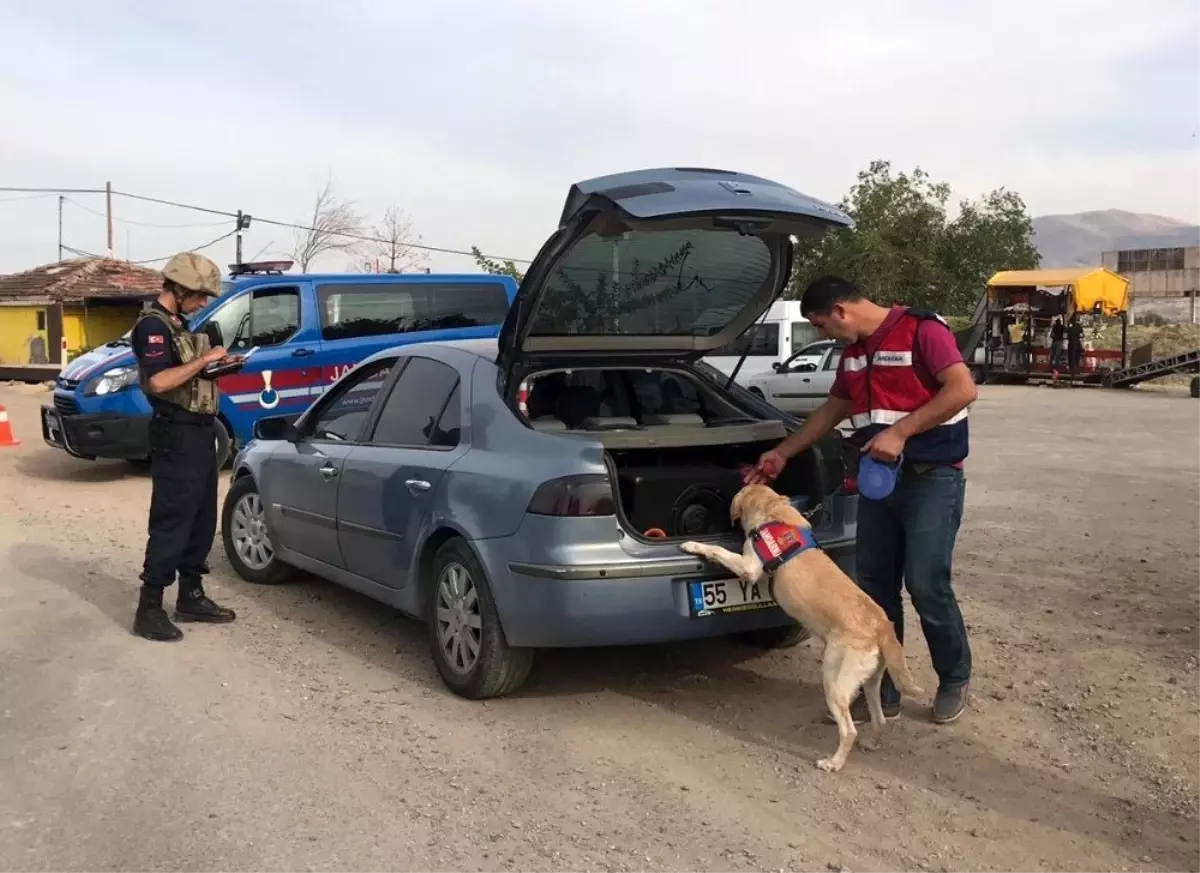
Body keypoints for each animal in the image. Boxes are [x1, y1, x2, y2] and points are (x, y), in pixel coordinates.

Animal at [681, 479, 921, 772]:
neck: (774, 511)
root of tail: (881, 625)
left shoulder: (750, 567)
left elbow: (719, 550)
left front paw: (693, 545)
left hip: (834, 680)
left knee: (849, 730)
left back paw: (833, 762)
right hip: (871, 681)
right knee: (879, 719)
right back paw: (872, 743)